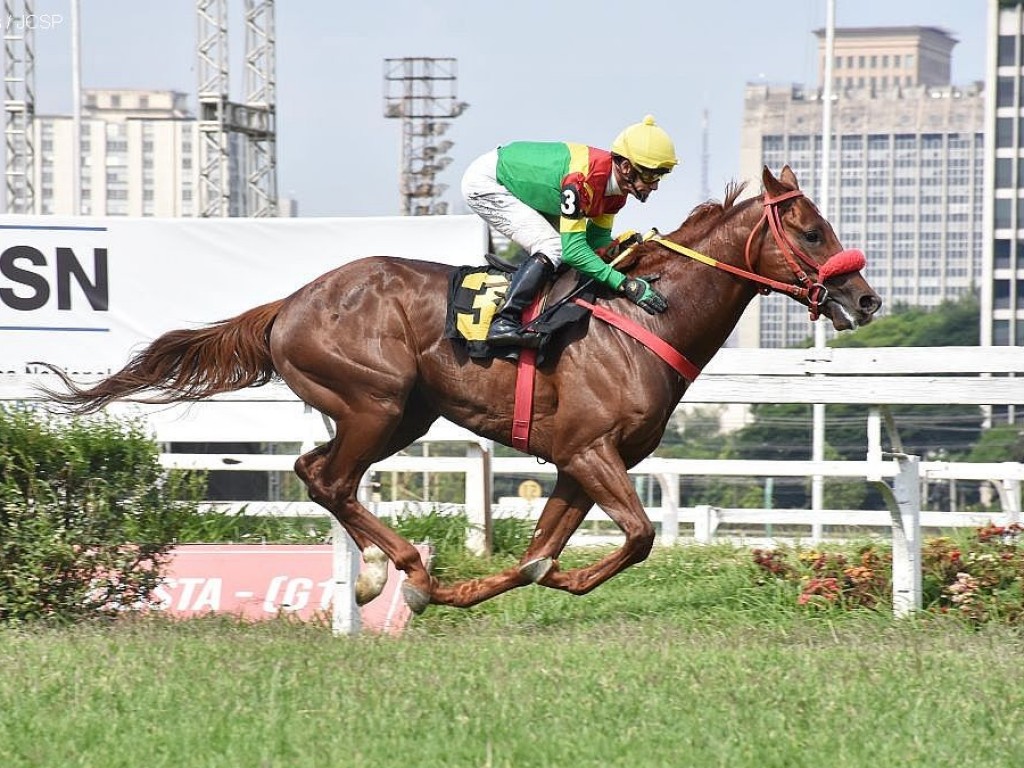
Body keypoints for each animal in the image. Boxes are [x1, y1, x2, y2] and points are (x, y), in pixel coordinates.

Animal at [37, 166, 880, 614]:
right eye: (811, 232)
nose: (866, 300)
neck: (642, 317)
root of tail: (291, 302)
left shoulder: (577, 465)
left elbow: (541, 552)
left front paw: (484, 588)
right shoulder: (590, 451)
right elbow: (638, 536)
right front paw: (455, 587)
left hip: (403, 414)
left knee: (316, 472)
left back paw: (379, 575)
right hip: (376, 401)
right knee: (330, 478)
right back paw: (403, 568)